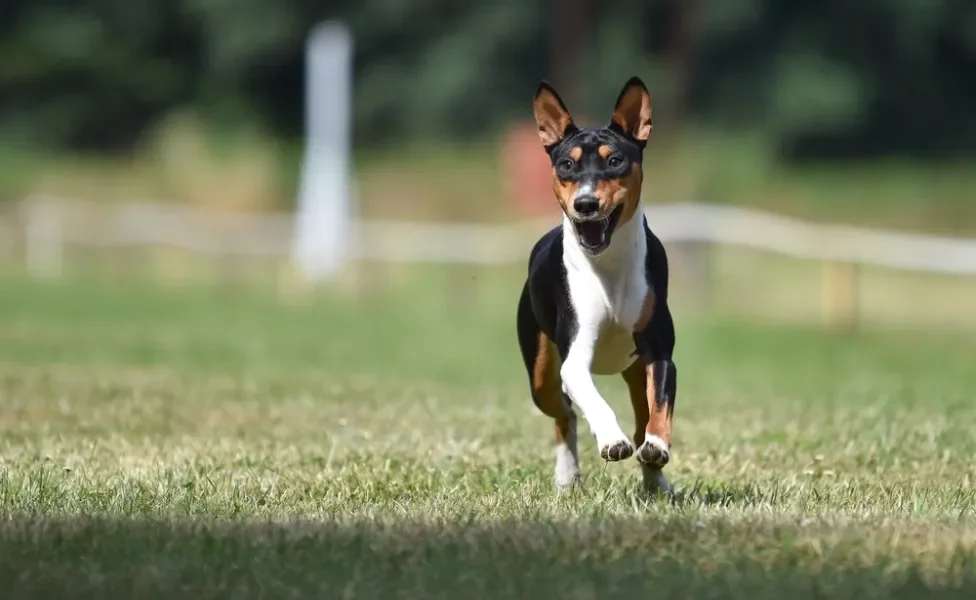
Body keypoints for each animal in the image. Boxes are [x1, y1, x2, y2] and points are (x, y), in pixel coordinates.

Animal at [516, 76, 676, 492]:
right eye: (567, 164)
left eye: (615, 160)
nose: (585, 204)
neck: (609, 267)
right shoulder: (575, 352)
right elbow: (591, 399)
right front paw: (610, 439)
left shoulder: (659, 351)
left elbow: (660, 408)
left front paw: (657, 446)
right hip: (541, 373)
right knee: (565, 416)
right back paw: (567, 476)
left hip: (634, 369)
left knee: (640, 416)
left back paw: (656, 481)